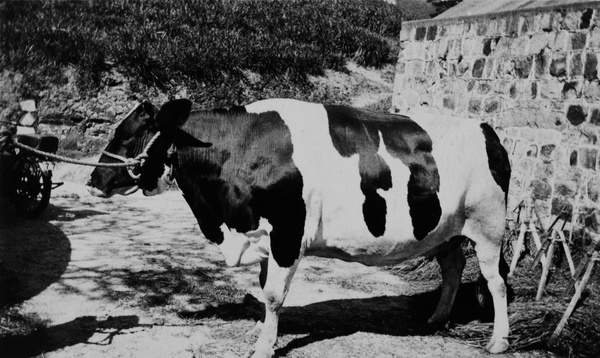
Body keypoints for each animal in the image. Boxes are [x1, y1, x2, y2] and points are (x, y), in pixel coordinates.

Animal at [88, 97, 510, 356]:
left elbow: (275, 294)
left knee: (496, 281)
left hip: (488, 226)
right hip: (448, 230)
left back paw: (499, 341)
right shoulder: (263, 236)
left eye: (128, 135)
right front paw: (264, 331)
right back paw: (437, 319)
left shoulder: (288, 232)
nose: (93, 179)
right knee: (453, 268)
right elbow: (264, 289)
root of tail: (486, 128)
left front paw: (263, 347)